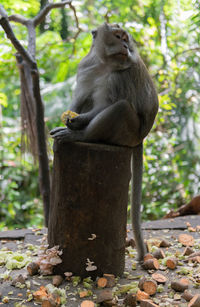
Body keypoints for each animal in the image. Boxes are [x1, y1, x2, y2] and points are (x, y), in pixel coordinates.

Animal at [50, 22, 159, 262]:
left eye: (126, 38)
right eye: (118, 36)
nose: (126, 46)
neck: (103, 64)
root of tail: (141, 138)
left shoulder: (119, 77)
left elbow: (105, 104)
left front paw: (77, 122)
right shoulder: (85, 68)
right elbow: (80, 97)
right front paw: (69, 118)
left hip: (128, 132)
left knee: (121, 107)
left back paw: (81, 136)